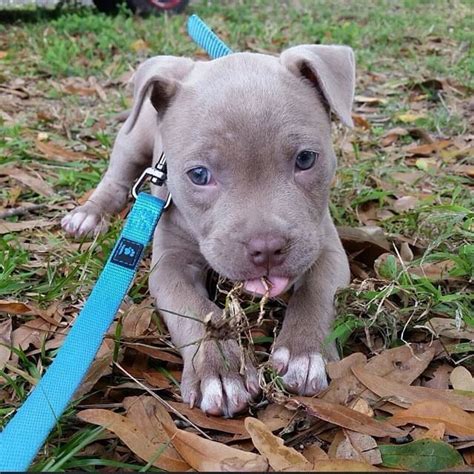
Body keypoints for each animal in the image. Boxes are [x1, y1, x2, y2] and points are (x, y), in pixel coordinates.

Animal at [61, 43, 354, 414]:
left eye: (305, 159)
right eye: (199, 175)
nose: (267, 247)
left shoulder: (325, 246)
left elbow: (317, 292)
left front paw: (304, 352)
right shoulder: (170, 265)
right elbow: (196, 311)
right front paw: (221, 371)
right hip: (131, 140)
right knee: (114, 180)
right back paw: (88, 215)